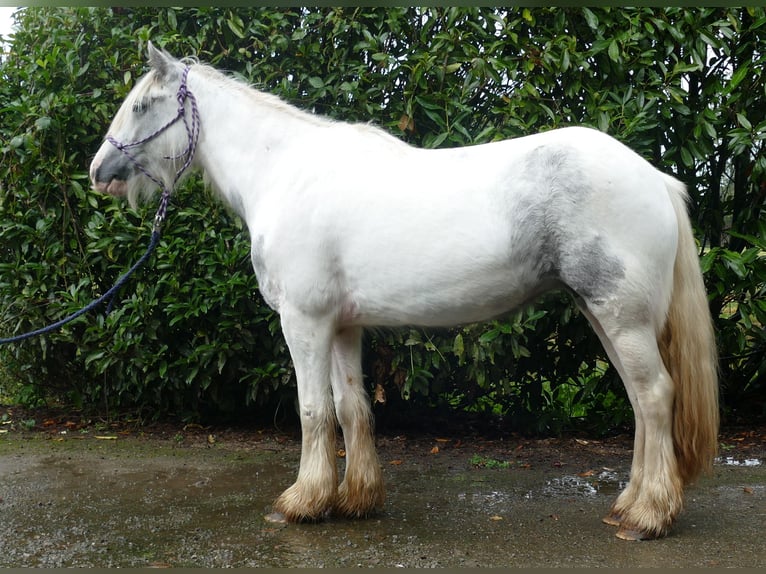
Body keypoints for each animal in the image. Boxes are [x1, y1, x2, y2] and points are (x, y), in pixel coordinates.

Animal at [90, 42, 720, 544]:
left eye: (142, 106)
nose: (98, 171)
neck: (284, 173)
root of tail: (655, 179)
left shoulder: (304, 322)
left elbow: (314, 410)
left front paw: (301, 502)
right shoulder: (342, 325)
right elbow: (352, 408)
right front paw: (356, 499)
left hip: (622, 317)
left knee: (655, 396)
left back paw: (649, 516)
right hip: (604, 314)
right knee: (640, 402)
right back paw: (629, 504)